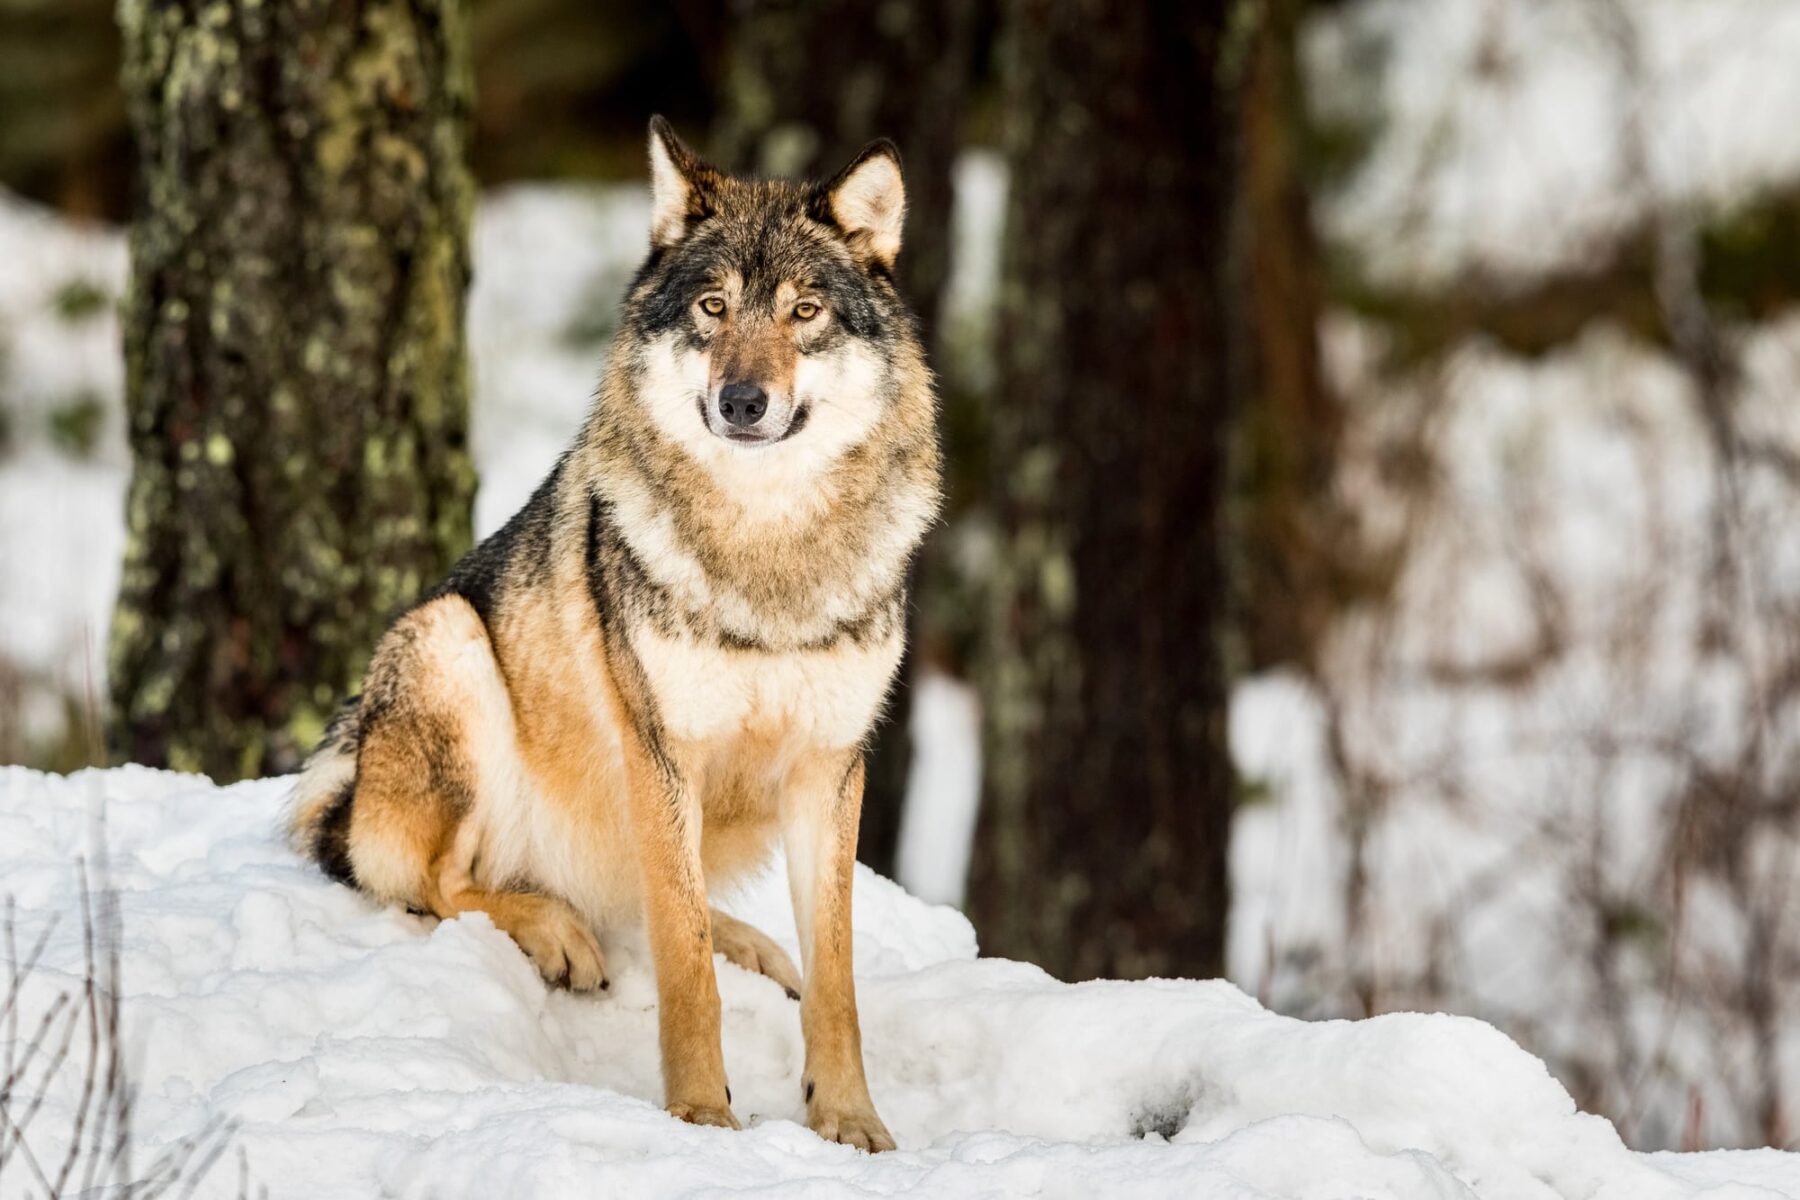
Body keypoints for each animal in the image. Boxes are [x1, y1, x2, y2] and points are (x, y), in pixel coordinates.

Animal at [286, 116, 939, 1151]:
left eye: (803, 313)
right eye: (713, 307)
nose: (742, 401)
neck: (768, 556)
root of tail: (350, 785)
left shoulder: (829, 767)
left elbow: (835, 979)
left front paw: (849, 1120)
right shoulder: (661, 750)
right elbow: (682, 964)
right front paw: (701, 1114)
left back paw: (753, 946)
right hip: (448, 641)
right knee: (435, 881)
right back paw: (557, 929)